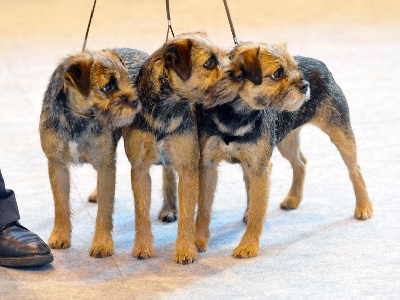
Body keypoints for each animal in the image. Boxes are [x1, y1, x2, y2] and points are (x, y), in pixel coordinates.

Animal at [39, 48, 148, 256]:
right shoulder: (57, 164)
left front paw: (102, 244)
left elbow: (104, 211)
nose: (136, 100)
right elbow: (61, 204)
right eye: (108, 87)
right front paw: (60, 235)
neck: (78, 120)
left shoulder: (105, 165)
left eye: (128, 81)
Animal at [122, 31, 228, 264]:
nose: (240, 73)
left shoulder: (188, 168)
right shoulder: (139, 169)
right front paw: (142, 246)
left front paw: (185, 250)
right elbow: (141, 212)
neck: (166, 108)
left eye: (226, 56)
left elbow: (188, 214)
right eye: (209, 63)